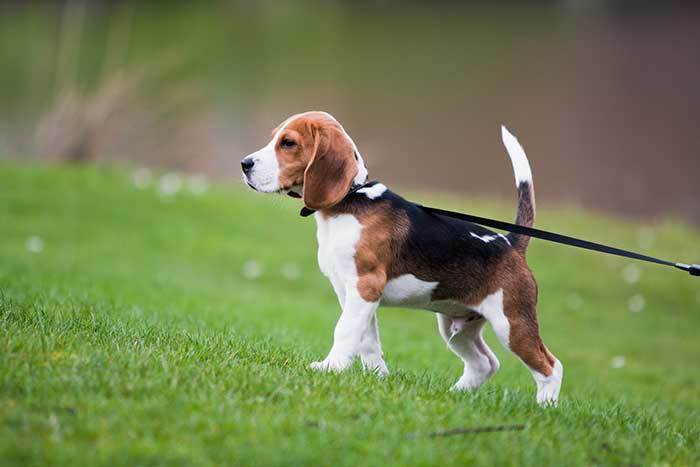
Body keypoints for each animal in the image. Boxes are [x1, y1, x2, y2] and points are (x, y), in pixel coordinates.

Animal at [241, 111, 564, 404]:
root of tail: (510, 242)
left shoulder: (365, 286)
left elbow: (344, 331)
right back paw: (454, 395)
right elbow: (367, 339)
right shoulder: (351, 294)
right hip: (456, 325)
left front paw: (330, 368)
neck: (350, 199)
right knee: (484, 363)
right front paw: (377, 376)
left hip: (512, 323)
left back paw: (545, 408)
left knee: (551, 367)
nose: (244, 164)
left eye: (288, 143)